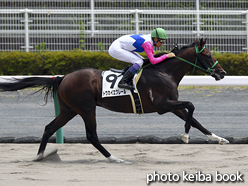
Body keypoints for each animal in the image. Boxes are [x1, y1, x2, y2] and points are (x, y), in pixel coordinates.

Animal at [0, 38, 229, 163]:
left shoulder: (173, 105)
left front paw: (218, 138)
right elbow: (191, 106)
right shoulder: (162, 105)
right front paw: (185, 136)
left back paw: (40, 157)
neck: (164, 72)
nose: (222, 73)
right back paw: (115, 158)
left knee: (49, 128)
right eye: (207, 54)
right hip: (86, 108)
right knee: (91, 135)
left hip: (68, 109)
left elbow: (196, 119)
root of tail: (63, 77)